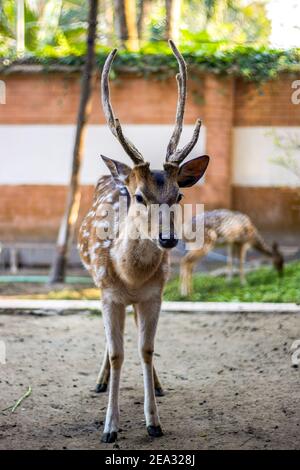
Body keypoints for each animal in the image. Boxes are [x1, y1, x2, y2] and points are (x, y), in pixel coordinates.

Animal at [78, 41, 209, 444]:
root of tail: (112, 173)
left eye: (179, 196)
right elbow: (117, 354)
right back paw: (101, 381)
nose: (168, 239)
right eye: (139, 196)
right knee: (111, 344)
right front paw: (110, 428)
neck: (131, 277)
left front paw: (154, 422)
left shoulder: (155, 294)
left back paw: (158, 385)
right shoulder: (108, 293)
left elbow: (147, 349)